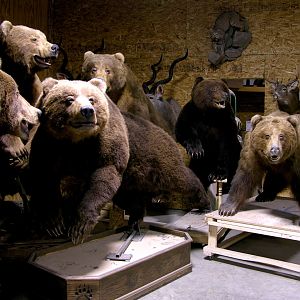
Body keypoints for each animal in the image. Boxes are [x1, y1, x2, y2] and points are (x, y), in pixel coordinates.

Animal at [30, 77, 209, 244]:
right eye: (69, 99)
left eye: (91, 99)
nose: (87, 111)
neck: (77, 141)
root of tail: (167, 134)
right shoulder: (50, 144)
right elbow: (44, 178)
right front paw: (54, 224)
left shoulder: (107, 143)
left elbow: (105, 176)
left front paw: (79, 227)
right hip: (132, 179)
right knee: (129, 199)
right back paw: (134, 221)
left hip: (159, 159)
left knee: (181, 178)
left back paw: (203, 200)